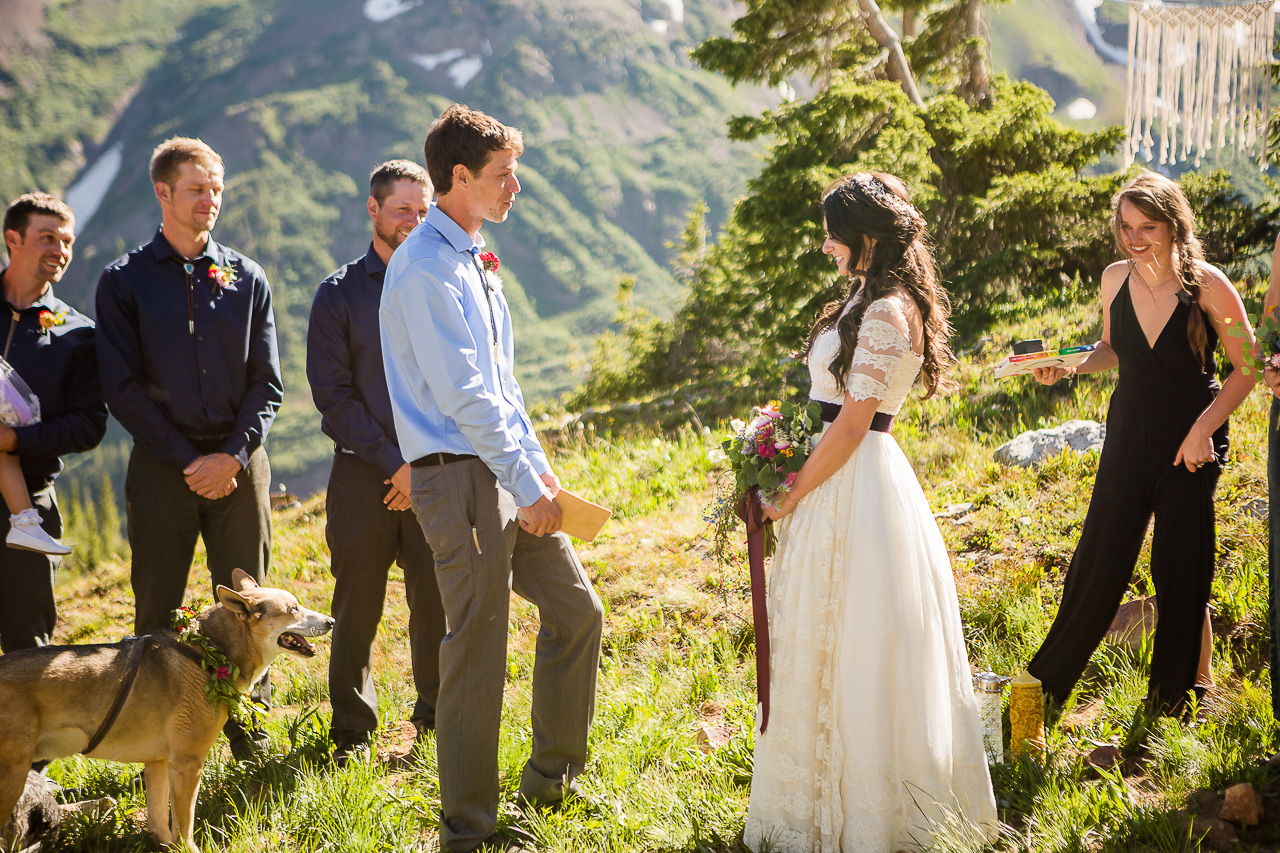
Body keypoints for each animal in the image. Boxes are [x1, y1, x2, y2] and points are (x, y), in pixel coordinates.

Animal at [0, 568, 335, 845]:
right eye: (293, 610)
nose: (331, 621)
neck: (208, 653)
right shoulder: (187, 763)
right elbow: (184, 826)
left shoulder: (158, 763)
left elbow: (160, 823)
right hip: (12, 777)